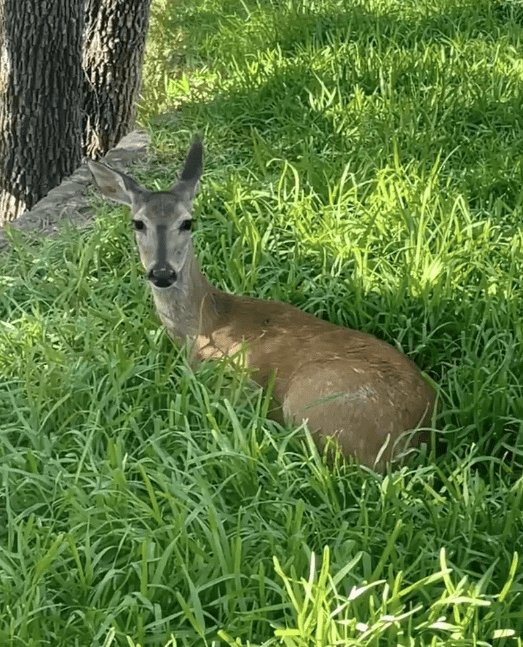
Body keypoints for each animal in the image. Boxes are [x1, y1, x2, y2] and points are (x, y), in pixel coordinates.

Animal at [88, 139, 436, 468]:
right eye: (138, 223)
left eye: (187, 222)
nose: (162, 273)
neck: (202, 325)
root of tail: (413, 441)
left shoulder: (234, 380)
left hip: (310, 399)